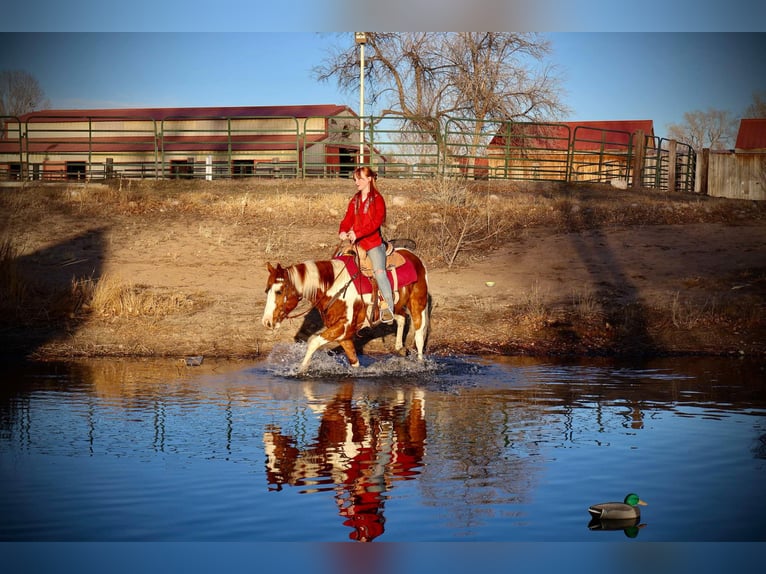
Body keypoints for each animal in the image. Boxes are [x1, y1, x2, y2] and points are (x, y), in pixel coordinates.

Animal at [261, 247, 430, 373]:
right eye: (266, 290)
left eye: (279, 291)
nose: (267, 321)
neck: (332, 287)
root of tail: (415, 257)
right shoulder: (344, 336)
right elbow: (354, 362)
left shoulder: (343, 327)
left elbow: (313, 342)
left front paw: (302, 370)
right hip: (396, 306)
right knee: (402, 318)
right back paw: (399, 347)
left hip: (418, 305)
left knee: (419, 336)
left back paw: (420, 363)